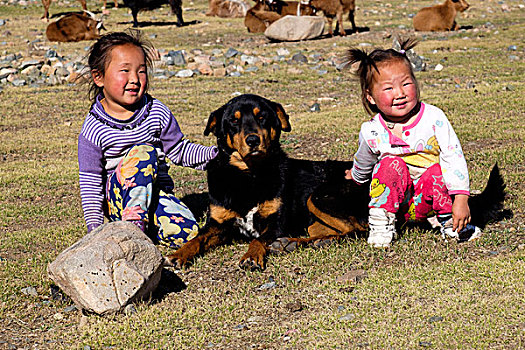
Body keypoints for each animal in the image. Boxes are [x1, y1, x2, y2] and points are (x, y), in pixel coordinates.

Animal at [167, 93, 508, 270]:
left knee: (356, 230)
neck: (249, 175)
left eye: (262, 117)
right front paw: (178, 254)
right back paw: (296, 243)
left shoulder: (274, 223)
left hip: (319, 195)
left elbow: (257, 239)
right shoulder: (217, 224)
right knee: (328, 232)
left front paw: (252, 255)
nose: (252, 140)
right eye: (233, 122)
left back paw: (294, 243)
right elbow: (196, 238)